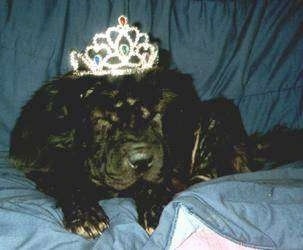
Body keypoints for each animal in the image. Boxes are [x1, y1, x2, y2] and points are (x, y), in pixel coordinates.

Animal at [8, 67, 303, 238]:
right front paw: (86, 216)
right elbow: (69, 180)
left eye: (155, 116)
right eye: (104, 120)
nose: (141, 160)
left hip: (219, 113)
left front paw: (154, 210)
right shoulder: (43, 165)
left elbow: (156, 183)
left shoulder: (167, 166)